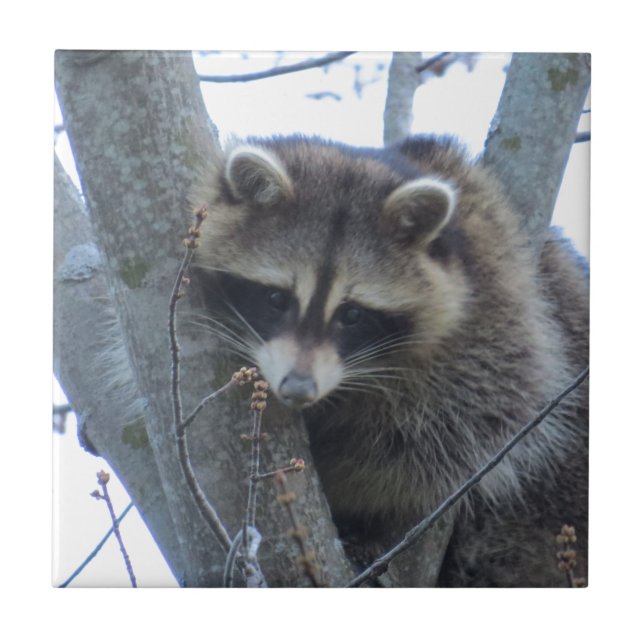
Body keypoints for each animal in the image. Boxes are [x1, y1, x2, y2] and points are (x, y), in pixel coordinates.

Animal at [194, 134, 589, 587]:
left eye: (352, 314)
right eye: (277, 298)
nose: (298, 389)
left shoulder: (495, 318)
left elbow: (439, 442)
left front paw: (339, 474)